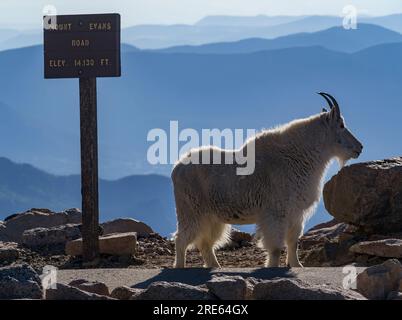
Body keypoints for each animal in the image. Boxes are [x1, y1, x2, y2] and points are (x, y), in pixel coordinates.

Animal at [171, 92, 362, 268]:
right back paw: (180, 267)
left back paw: (216, 267)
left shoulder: (295, 213)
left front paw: (297, 265)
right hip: (191, 211)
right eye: (341, 125)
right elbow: (276, 247)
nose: (359, 148)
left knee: (205, 243)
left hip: (212, 217)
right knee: (181, 239)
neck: (298, 156)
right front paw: (272, 266)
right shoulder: (275, 213)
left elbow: (293, 242)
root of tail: (177, 167)